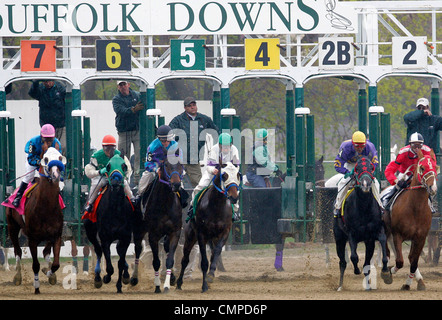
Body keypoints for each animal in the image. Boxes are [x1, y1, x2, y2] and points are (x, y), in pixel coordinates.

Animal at [4, 147, 65, 292]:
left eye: (60, 158)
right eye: (46, 159)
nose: (55, 175)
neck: (46, 208)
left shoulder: (56, 235)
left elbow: (56, 264)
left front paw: (50, 274)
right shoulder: (32, 239)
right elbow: (35, 265)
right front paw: (36, 286)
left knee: (46, 252)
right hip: (12, 227)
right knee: (18, 251)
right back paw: (18, 276)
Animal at [83, 154, 134, 292]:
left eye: (124, 165)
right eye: (108, 166)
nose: (115, 180)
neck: (115, 209)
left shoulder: (125, 237)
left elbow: (120, 262)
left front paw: (121, 283)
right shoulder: (105, 237)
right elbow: (109, 266)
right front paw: (106, 277)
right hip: (90, 232)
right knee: (98, 250)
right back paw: (97, 278)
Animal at [132, 154, 186, 292]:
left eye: (180, 164)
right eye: (166, 164)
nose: (176, 184)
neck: (165, 203)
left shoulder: (175, 232)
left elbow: (170, 260)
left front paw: (167, 284)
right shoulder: (153, 235)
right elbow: (156, 261)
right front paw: (157, 286)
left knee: (166, 248)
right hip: (139, 230)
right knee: (138, 249)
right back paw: (133, 278)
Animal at [334, 156, 388, 292]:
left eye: (371, 167)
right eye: (357, 169)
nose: (365, 184)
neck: (363, 208)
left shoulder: (376, 232)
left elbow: (383, 243)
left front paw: (385, 270)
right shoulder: (351, 234)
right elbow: (354, 257)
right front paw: (356, 270)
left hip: (369, 243)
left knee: (366, 264)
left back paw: (368, 286)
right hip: (339, 239)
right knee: (342, 262)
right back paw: (340, 286)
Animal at [384, 149, 438, 292]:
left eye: (435, 167)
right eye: (422, 167)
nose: (433, 188)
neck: (415, 208)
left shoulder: (420, 237)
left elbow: (413, 262)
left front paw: (408, 283)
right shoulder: (397, 234)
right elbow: (399, 261)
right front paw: (388, 274)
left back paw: (419, 281)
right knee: (386, 251)